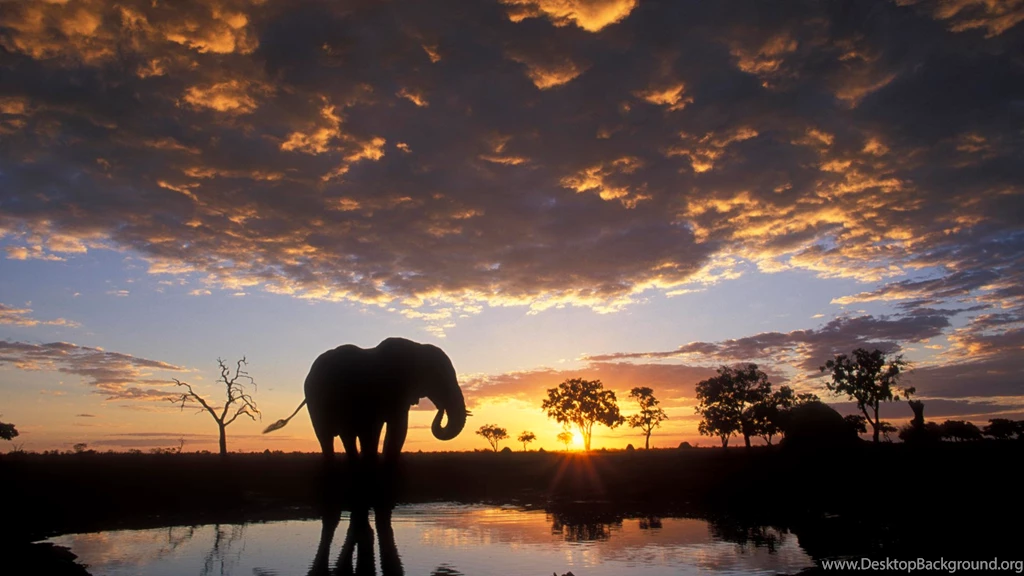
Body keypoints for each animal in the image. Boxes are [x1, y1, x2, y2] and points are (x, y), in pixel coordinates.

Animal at [264, 337, 467, 464]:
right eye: (439, 379)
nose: (440, 408)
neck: (416, 347)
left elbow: (396, 430)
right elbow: (386, 429)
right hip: (319, 403)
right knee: (331, 437)